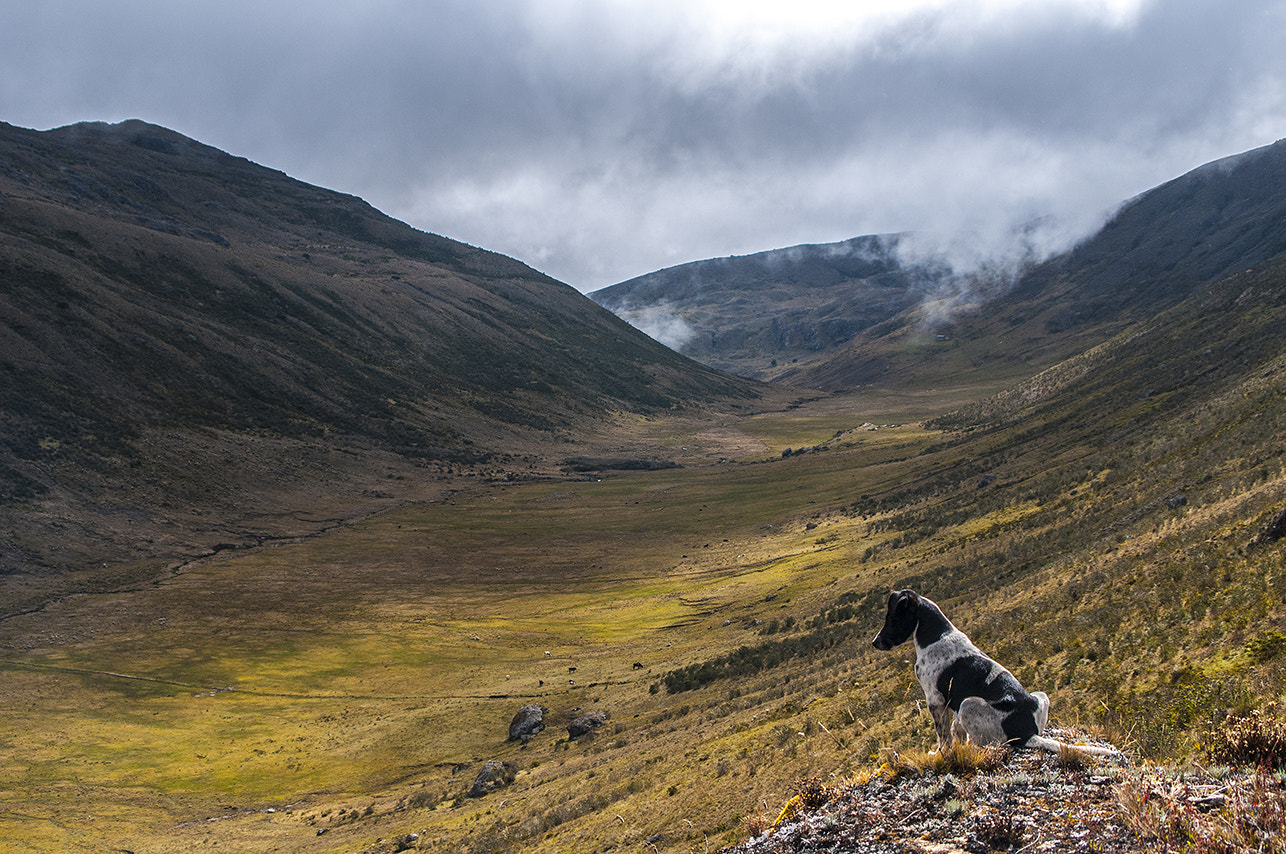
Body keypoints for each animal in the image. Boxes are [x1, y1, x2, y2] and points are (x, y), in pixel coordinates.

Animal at [874, 591, 1116, 756]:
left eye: (892, 619)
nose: (875, 642)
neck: (936, 634)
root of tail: (1028, 734)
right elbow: (956, 729)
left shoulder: (935, 699)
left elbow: (943, 734)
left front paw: (941, 753)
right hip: (1041, 696)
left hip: (968, 704)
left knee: (986, 743)